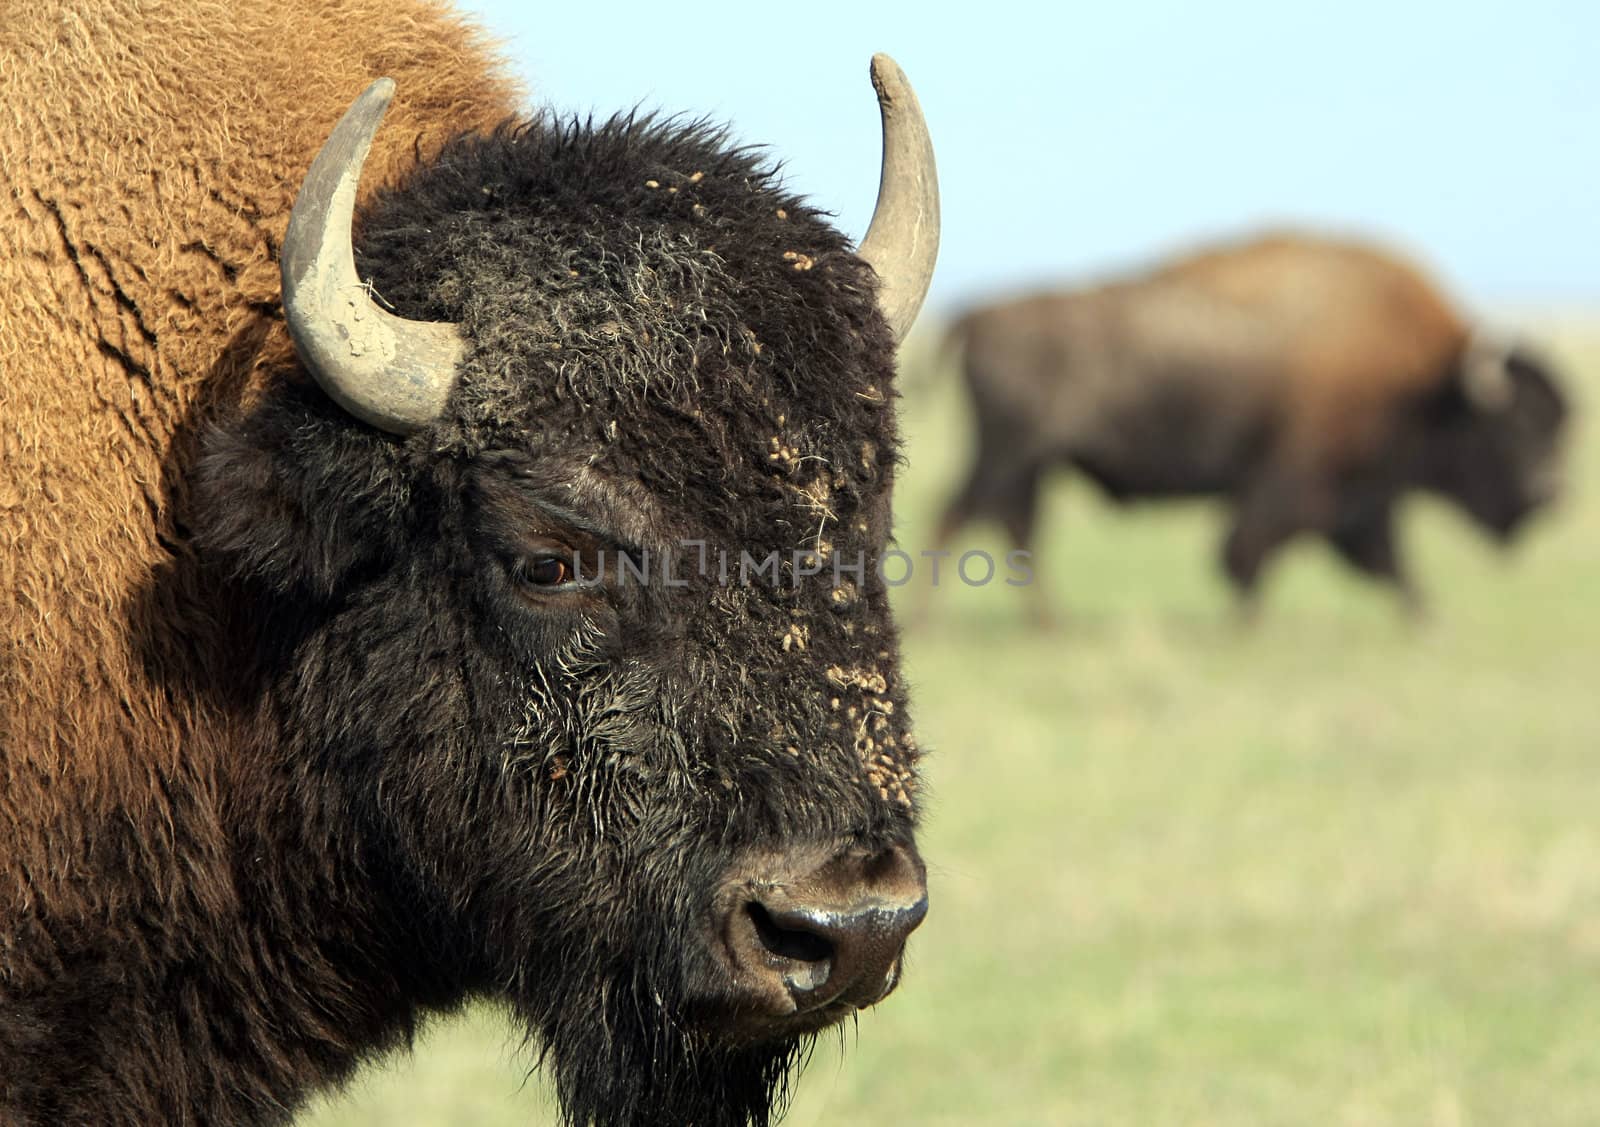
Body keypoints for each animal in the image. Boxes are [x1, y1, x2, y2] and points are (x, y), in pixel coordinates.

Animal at [934, 233, 1568, 621]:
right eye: (1518, 425)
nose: (1549, 493)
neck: (1427, 384)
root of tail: (976, 316)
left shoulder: (1360, 499)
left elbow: (1383, 561)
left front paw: (1425, 619)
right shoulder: (1301, 480)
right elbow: (1251, 549)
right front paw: (1243, 626)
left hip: (1026, 463)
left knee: (1010, 528)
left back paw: (1048, 626)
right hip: (1007, 456)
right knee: (963, 517)